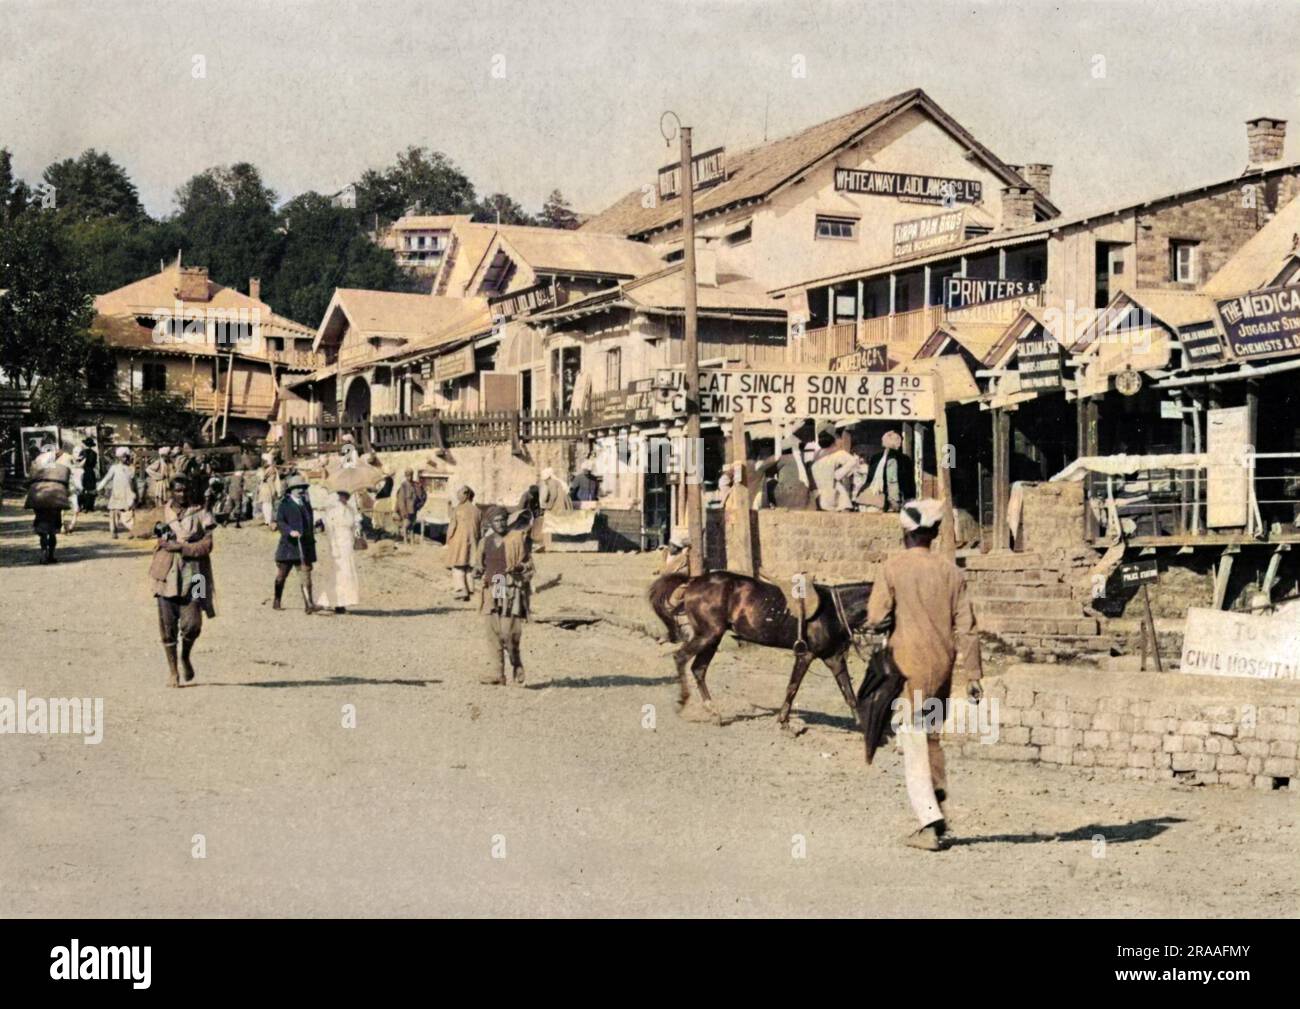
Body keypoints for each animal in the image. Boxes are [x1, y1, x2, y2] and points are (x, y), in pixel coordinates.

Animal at [650, 572, 873, 728]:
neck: (832, 611)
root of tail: (694, 581)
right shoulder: (806, 655)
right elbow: (792, 687)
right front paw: (783, 721)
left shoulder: (834, 658)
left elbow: (849, 694)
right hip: (707, 635)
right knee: (680, 657)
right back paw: (682, 702)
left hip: (712, 638)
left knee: (698, 669)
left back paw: (714, 712)